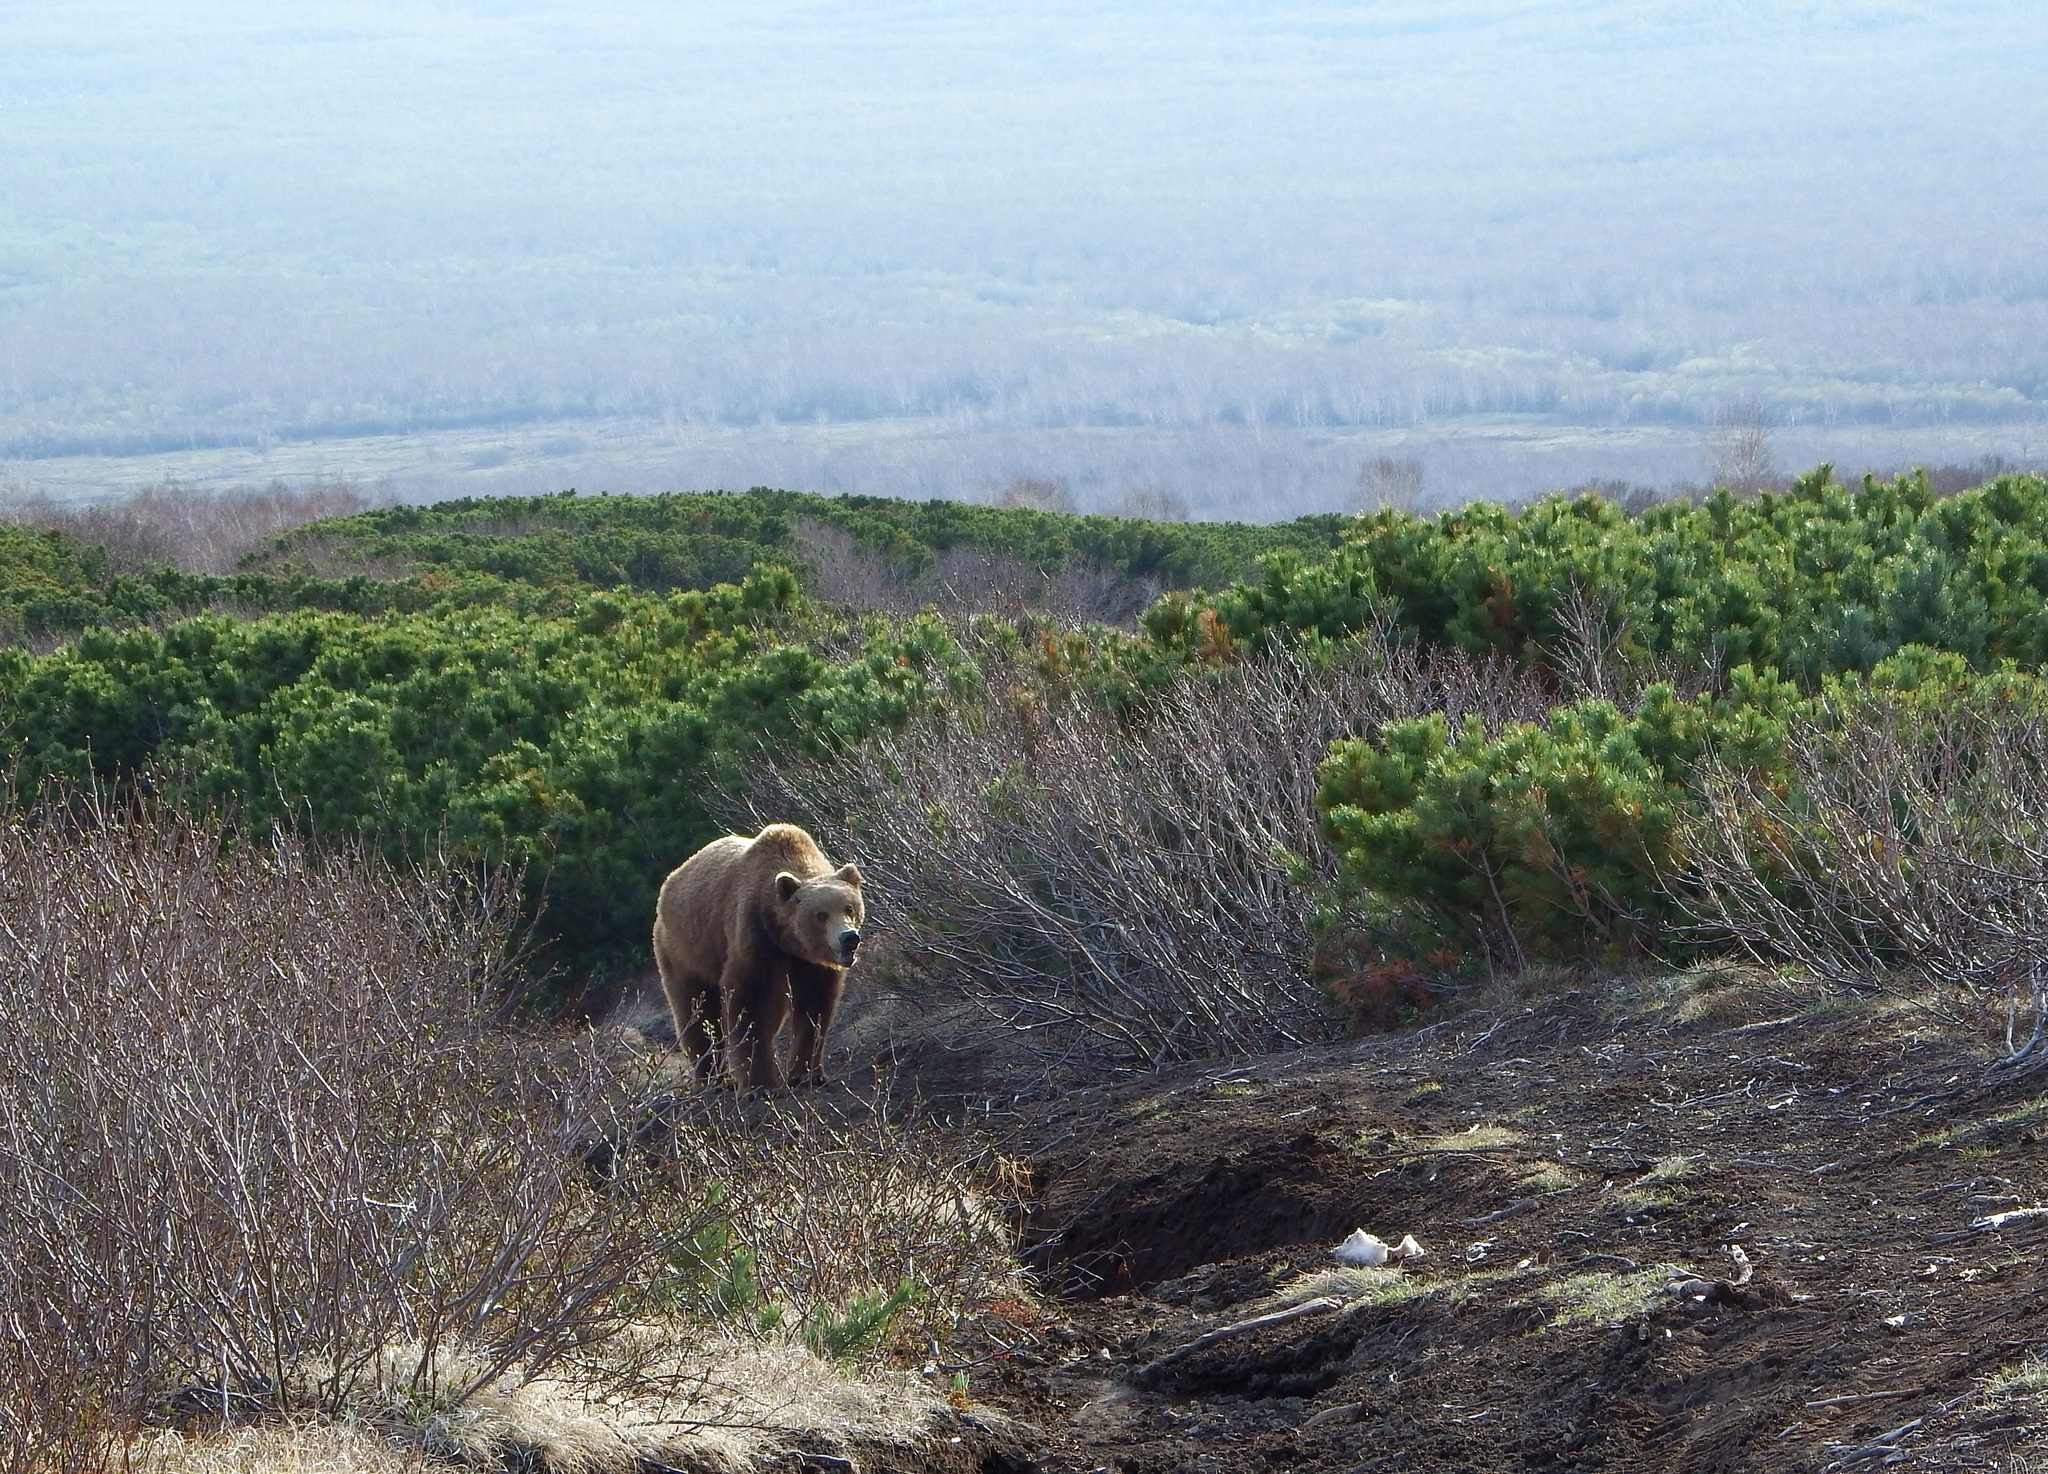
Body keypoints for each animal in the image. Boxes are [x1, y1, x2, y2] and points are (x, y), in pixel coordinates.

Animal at [655, 822, 864, 1089]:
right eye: (820, 915)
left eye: (849, 907)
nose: (849, 937)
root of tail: (669, 883)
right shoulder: (755, 937)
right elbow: (749, 1005)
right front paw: (761, 1085)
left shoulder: (810, 962)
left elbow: (814, 1005)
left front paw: (808, 1074)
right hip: (686, 950)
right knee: (696, 1010)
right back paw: (710, 1077)